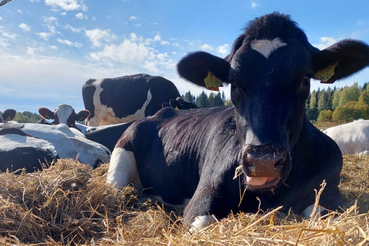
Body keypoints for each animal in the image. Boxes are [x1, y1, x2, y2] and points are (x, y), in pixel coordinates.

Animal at [105, 12, 368, 232]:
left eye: (304, 79)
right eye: (234, 82)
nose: (263, 161)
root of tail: (164, 111)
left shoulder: (330, 190)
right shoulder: (202, 199)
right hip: (121, 154)